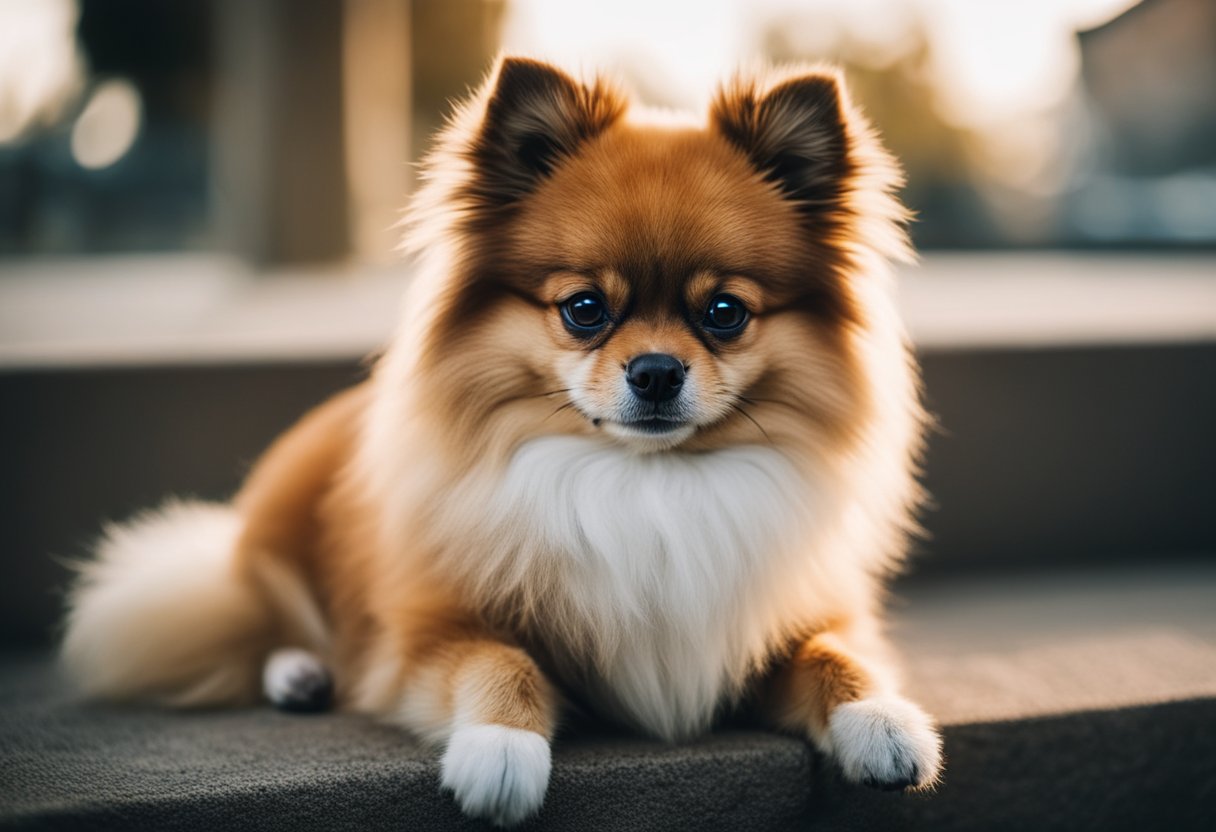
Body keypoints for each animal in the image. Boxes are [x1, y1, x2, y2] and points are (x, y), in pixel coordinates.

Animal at [61, 56, 938, 827]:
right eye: (585, 308)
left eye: (724, 313)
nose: (656, 370)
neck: (644, 483)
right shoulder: (426, 635)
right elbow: (499, 659)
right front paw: (501, 749)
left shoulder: (784, 618)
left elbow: (834, 655)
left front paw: (883, 720)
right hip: (279, 530)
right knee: (270, 616)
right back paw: (301, 672)